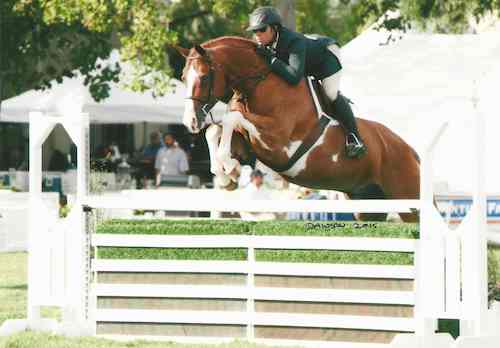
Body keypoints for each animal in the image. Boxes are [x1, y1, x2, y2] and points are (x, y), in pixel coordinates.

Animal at [178, 36, 420, 223]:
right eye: (183, 78)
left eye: (204, 77)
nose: (190, 122)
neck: (260, 85)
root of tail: (410, 150)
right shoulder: (249, 143)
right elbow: (214, 131)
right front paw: (225, 175)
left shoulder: (279, 143)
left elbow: (231, 118)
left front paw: (228, 167)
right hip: (367, 206)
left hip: (409, 199)